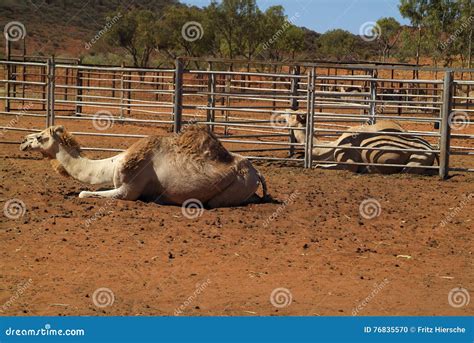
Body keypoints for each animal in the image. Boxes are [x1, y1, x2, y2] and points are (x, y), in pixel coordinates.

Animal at [19, 125, 266, 208]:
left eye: (40, 137)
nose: (23, 141)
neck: (112, 165)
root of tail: (257, 172)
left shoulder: (129, 189)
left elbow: (83, 193)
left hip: (236, 187)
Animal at [284, 110, 438, 175]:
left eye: (292, 116)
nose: (284, 111)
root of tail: (432, 149)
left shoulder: (349, 161)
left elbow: (320, 166)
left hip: (415, 160)